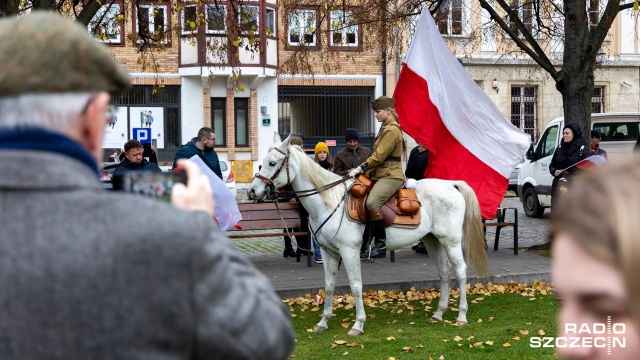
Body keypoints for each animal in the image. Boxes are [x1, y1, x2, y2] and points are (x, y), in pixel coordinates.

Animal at [248, 134, 488, 336]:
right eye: (261, 162)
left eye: (272, 163)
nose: (252, 191)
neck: (330, 201)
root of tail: (451, 185)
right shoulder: (328, 253)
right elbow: (329, 285)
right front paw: (323, 322)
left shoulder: (350, 252)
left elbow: (356, 286)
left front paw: (358, 324)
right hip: (433, 241)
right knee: (445, 274)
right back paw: (438, 313)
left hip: (451, 242)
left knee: (461, 272)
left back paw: (462, 315)